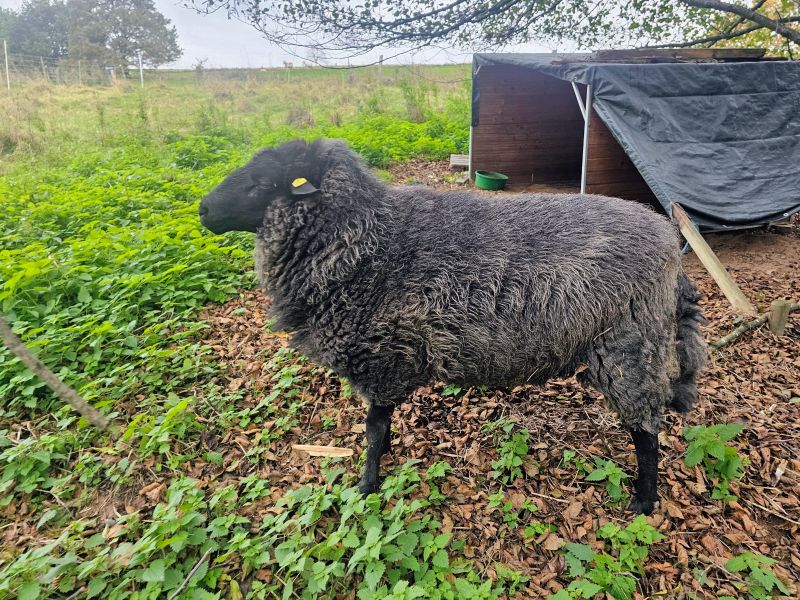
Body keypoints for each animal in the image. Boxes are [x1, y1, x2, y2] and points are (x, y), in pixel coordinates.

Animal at [198, 138, 707, 515]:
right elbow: (381, 425)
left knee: (647, 431)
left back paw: (644, 502)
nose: (202, 209)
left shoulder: (379, 358)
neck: (363, 240)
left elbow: (373, 428)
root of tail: (669, 240)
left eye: (263, 182)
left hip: (630, 346)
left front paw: (367, 485)